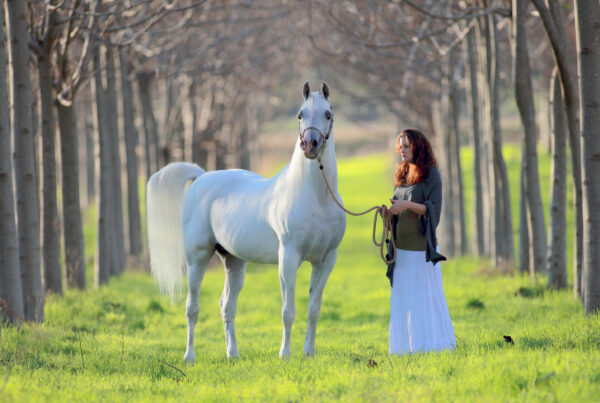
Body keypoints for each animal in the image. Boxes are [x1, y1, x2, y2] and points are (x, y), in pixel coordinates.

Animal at [146, 82, 346, 362]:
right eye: (300, 115)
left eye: (328, 114)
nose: (310, 145)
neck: (315, 197)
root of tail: (202, 176)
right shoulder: (289, 258)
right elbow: (288, 310)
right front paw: (285, 354)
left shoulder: (326, 260)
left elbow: (313, 309)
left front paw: (309, 353)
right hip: (197, 259)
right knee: (192, 307)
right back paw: (189, 357)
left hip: (234, 262)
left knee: (227, 306)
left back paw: (233, 354)